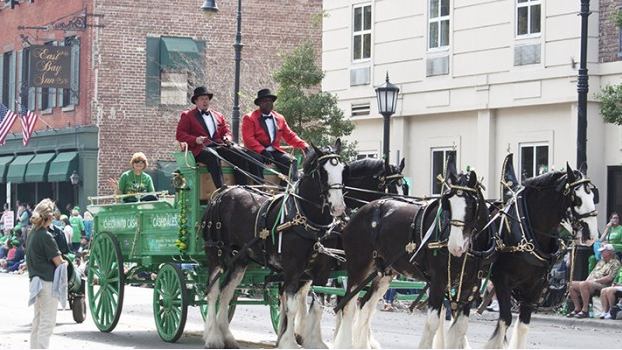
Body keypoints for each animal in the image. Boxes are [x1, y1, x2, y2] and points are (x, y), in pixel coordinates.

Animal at [201, 139, 346, 348]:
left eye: (343, 169)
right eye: (323, 172)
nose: (338, 207)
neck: (307, 219)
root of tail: (223, 192)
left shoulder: (322, 271)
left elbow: (317, 307)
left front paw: (313, 342)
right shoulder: (293, 268)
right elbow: (292, 307)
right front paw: (289, 342)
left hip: (240, 258)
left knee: (226, 292)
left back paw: (227, 336)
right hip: (217, 252)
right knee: (212, 292)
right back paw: (213, 336)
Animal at [334, 161, 494, 348]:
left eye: (471, 205)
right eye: (448, 204)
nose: (455, 247)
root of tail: (360, 212)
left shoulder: (469, 288)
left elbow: (459, 328)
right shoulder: (438, 282)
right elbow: (433, 323)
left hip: (383, 273)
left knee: (366, 306)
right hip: (358, 267)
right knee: (348, 305)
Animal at [488, 154, 600, 348]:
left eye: (593, 195)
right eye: (576, 198)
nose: (592, 234)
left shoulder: (534, 285)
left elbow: (523, 325)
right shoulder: (501, 279)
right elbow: (505, 320)